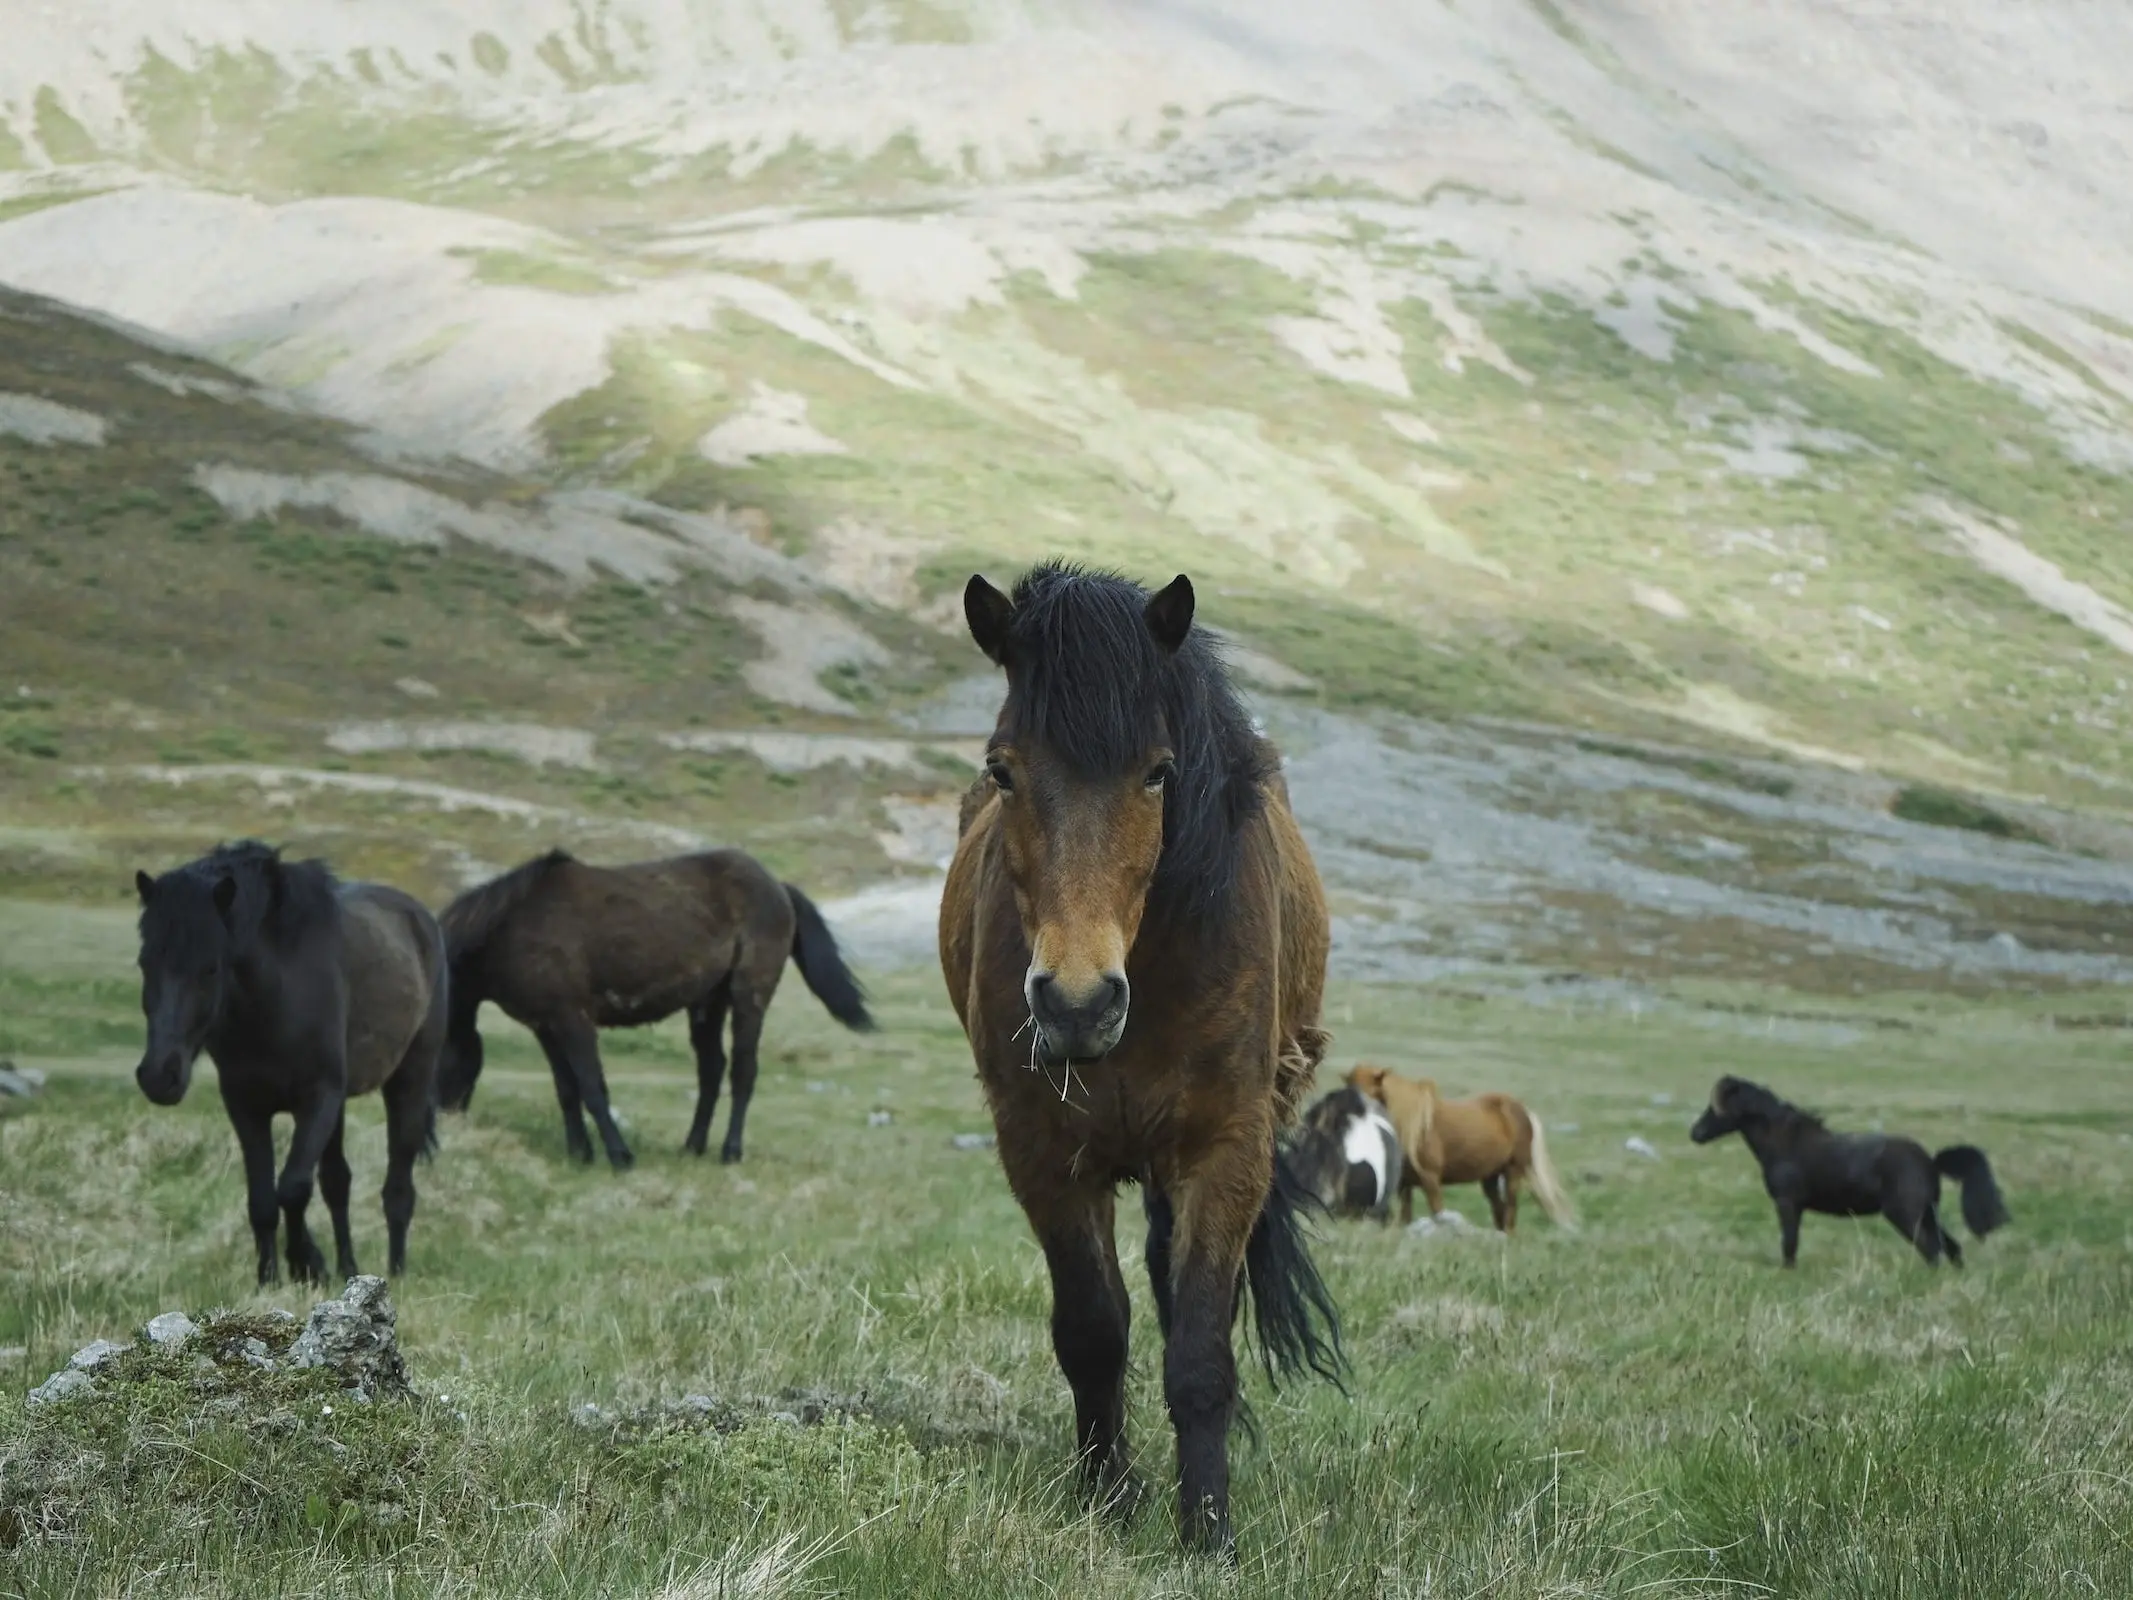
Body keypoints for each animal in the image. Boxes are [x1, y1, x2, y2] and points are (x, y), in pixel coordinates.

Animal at [134, 844, 450, 1288]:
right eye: (145, 963)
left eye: (210, 967)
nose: (158, 1076)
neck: (276, 998)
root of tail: (421, 918)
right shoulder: (246, 1105)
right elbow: (264, 1200)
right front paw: (269, 1278)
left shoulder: (317, 1099)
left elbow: (292, 1188)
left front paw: (306, 1264)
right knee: (337, 1183)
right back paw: (348, 1268)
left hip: (409, 1081)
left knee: (398, 1188)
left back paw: (396, 1270)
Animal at [437, 853, 870, 1169]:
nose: (445, 1120)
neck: (511, 928)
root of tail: (778, 886)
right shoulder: (546, 1027)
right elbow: (567, 1090)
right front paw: (580, 1154)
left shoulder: (573, 1020)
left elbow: (593, 1087)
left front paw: (619, 1157)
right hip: (707, 1003)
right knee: (711, 1070)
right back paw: (693, 1146)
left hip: (750, 996)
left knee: (742, 1071)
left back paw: (730, 1152)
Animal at [942, 567, 1339, 1570]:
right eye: (1003, 770)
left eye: (1158, 771)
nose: (1077, 1005)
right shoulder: (1043, 1155)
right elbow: (1092, 1331)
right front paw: (1107, 1501)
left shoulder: (1223, 1151)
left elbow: (1198, 1349)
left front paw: (1208, 1533)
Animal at [1689, 1083, 2005, 1271]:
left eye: (1716, 1109)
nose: (1695, 1133)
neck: (1786, 1145)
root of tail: (1930, 1162)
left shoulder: (1788, 1204)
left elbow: (1789, 1243)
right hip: (1927, 1214)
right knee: (1950, 1247)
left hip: (1906, 1216)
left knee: (1932, 1250)